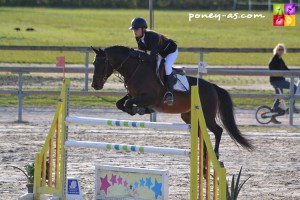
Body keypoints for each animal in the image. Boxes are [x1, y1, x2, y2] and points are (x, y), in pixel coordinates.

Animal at [91, 45, 253, 156]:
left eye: (101, 64)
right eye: (94, 64)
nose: (95, 85)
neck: (135, 70)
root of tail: (213, 86)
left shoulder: (150, 97)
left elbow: (128, 103)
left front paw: (137, 109)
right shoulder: (133, 95)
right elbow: (121, 103)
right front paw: (138, 110)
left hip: (206, 115)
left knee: (218, 130)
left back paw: (216, 153)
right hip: (188, 116)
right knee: (202, 133)